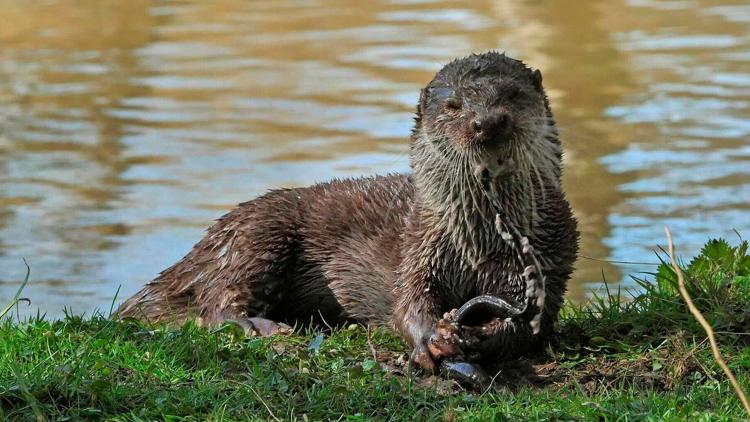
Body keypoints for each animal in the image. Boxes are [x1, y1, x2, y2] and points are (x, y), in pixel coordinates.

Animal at [116, 52, 580, 372]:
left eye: (512, 96)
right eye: (454, 106)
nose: (488, 122)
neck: (477, 248)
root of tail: (201, 249)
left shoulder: (550, 262)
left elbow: (530, 326)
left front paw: (480, 339)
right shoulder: (419, 248)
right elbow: (407, 304)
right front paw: (433, 335)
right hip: (259, 233)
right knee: (215, 302)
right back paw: (260, 326)